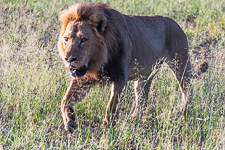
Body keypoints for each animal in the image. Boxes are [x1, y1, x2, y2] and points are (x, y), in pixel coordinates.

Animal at [58, 2, 204, 132]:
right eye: (66, 39)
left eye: (84, 40)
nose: (69, 59)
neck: (98, 60)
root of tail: (176, 23)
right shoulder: (84, 78)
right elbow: (65, 100)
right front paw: (70, 120)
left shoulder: (120, 77)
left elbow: (112, 105)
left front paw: (108, 129)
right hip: (145, 76)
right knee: (142, 99)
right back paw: (135, 118)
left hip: (181, 65)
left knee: (188, 90)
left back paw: (183, 111)